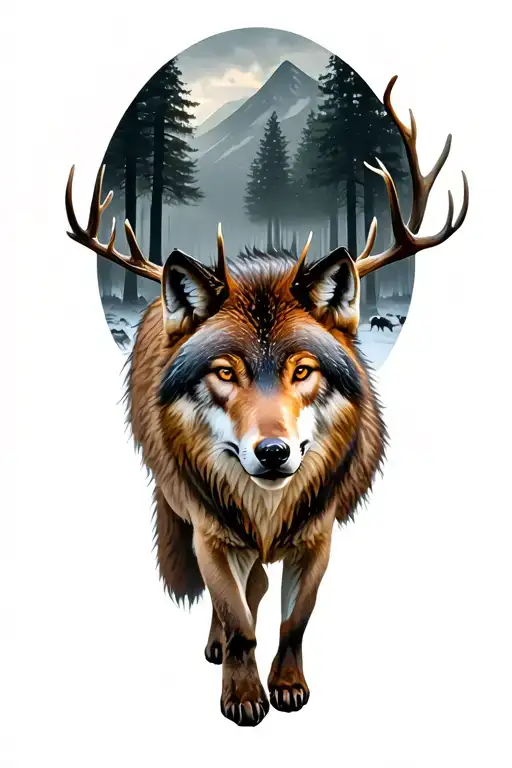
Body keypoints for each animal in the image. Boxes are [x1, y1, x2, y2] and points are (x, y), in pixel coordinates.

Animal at [65, 76, 468, 726]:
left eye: (302, 370)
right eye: (225, 373)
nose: (274, 453)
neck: (267, 513)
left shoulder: (319, 534)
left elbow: (292, 621)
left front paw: (288, 687)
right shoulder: (210, 529)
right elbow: (238, 620)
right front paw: (243, 696)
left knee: (257, 588)